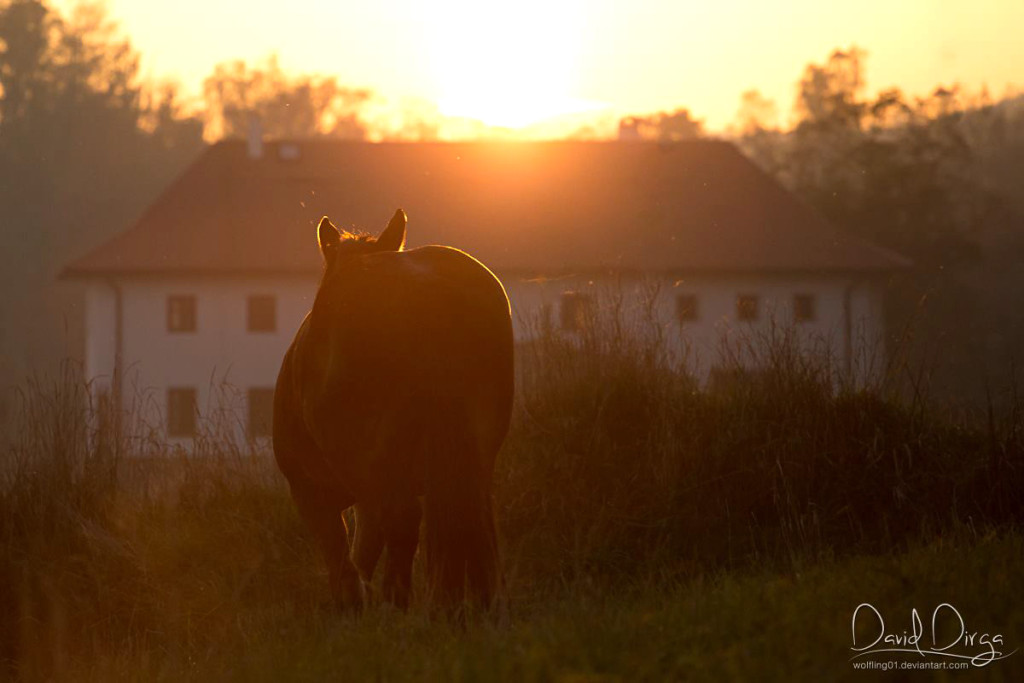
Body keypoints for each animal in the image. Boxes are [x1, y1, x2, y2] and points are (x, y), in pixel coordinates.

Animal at [274, 208, 516, 610]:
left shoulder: (312, 490)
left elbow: (342, 556)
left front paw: (351, 604)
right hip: (472, 457)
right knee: (473, 520)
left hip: (376, 465)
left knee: (405, 520)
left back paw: (397, 602)